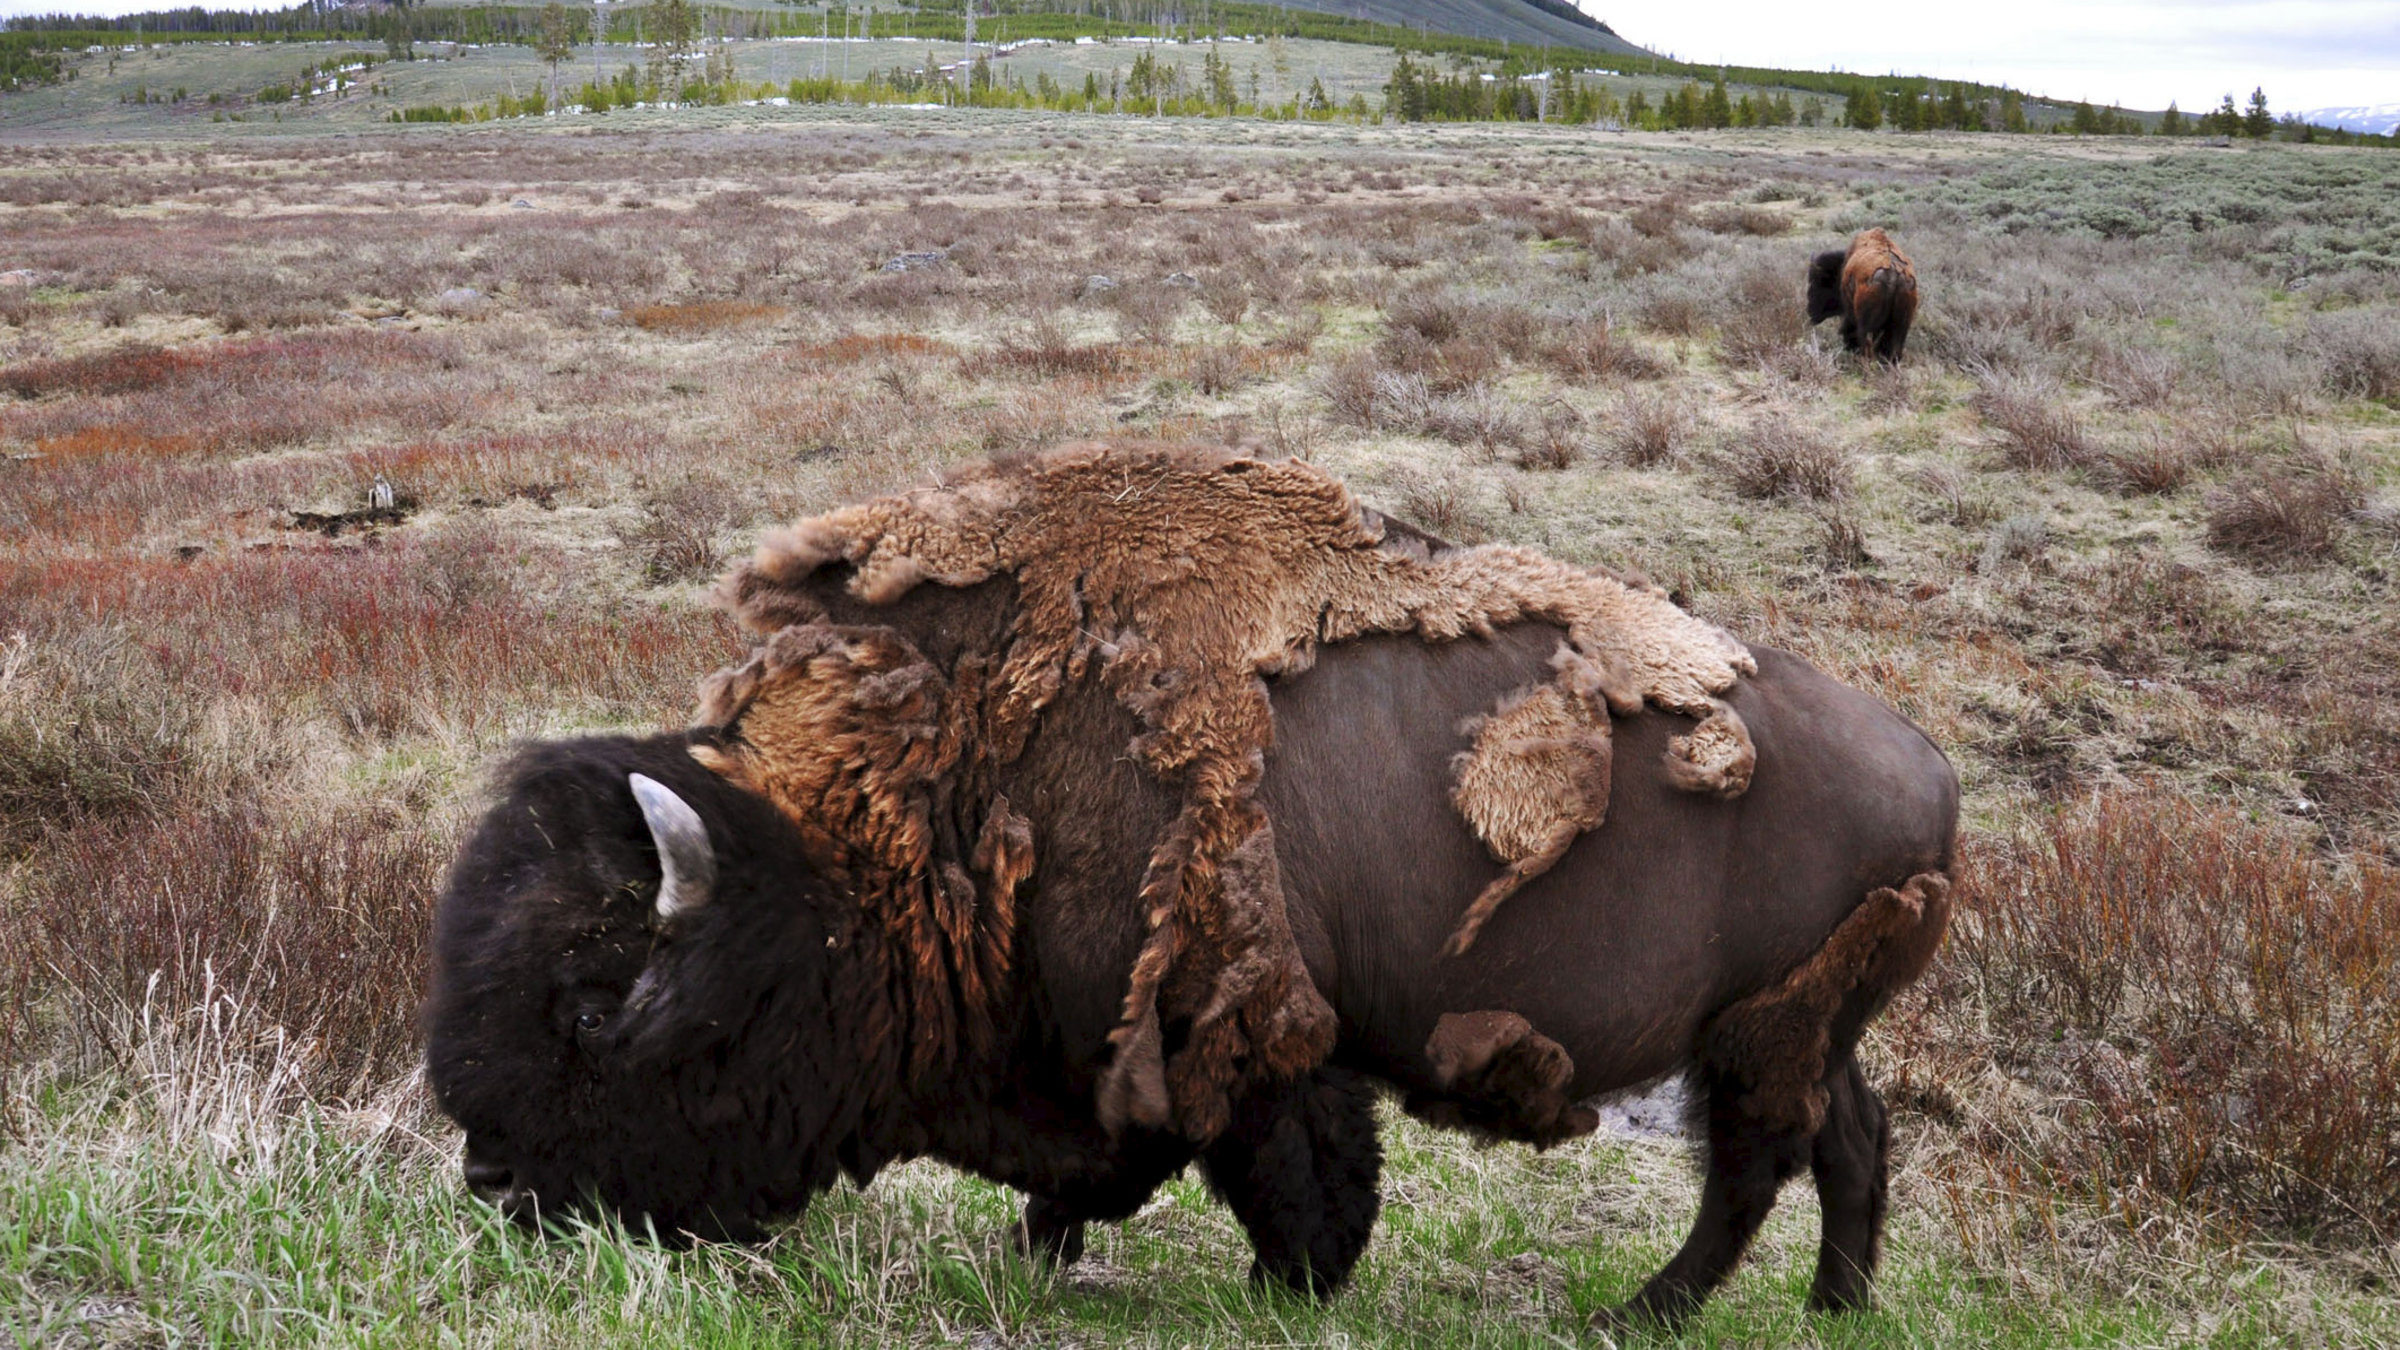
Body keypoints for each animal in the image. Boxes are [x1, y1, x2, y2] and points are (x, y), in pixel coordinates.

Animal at [426, 450, 1957, 1329]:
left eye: (597, 1005)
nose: (495, 1183)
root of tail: (1930, 766)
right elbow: (1116, 1170)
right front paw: (1045, 1249)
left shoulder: (1248, 1027)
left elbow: (1283, 1169)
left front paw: (1287, 1290)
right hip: (1801, 1031)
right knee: (1848, 1142)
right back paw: (1833, 1308)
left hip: (1757, 1033)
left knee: (1755, 1166)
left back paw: (1642, 1313)